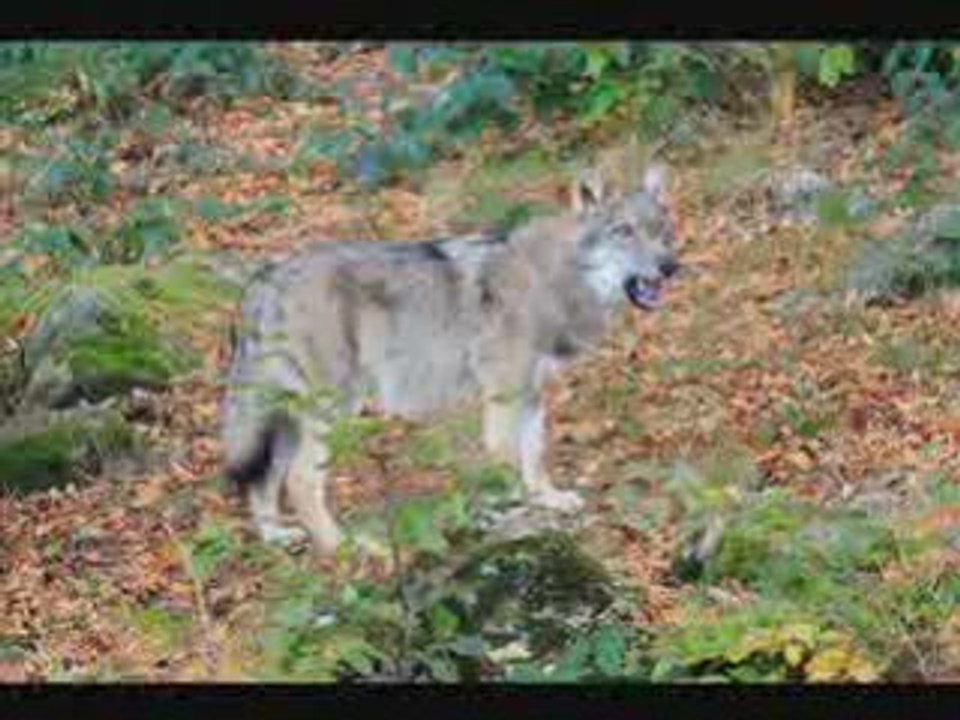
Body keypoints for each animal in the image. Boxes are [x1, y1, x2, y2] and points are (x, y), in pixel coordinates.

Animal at [221, 163, 679, 556]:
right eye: (624, 231)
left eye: (662, 231)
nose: (670, 267)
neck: (555, 279)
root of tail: (264, 277)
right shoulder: (503, 391)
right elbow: (506, 457)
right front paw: (517, 518)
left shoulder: (532, 392)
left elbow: (535, 452)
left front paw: (548, 499)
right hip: (334, 409)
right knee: (299, 480)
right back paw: (347, 549)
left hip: (291, 416)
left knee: (264, 480)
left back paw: (277, 537)